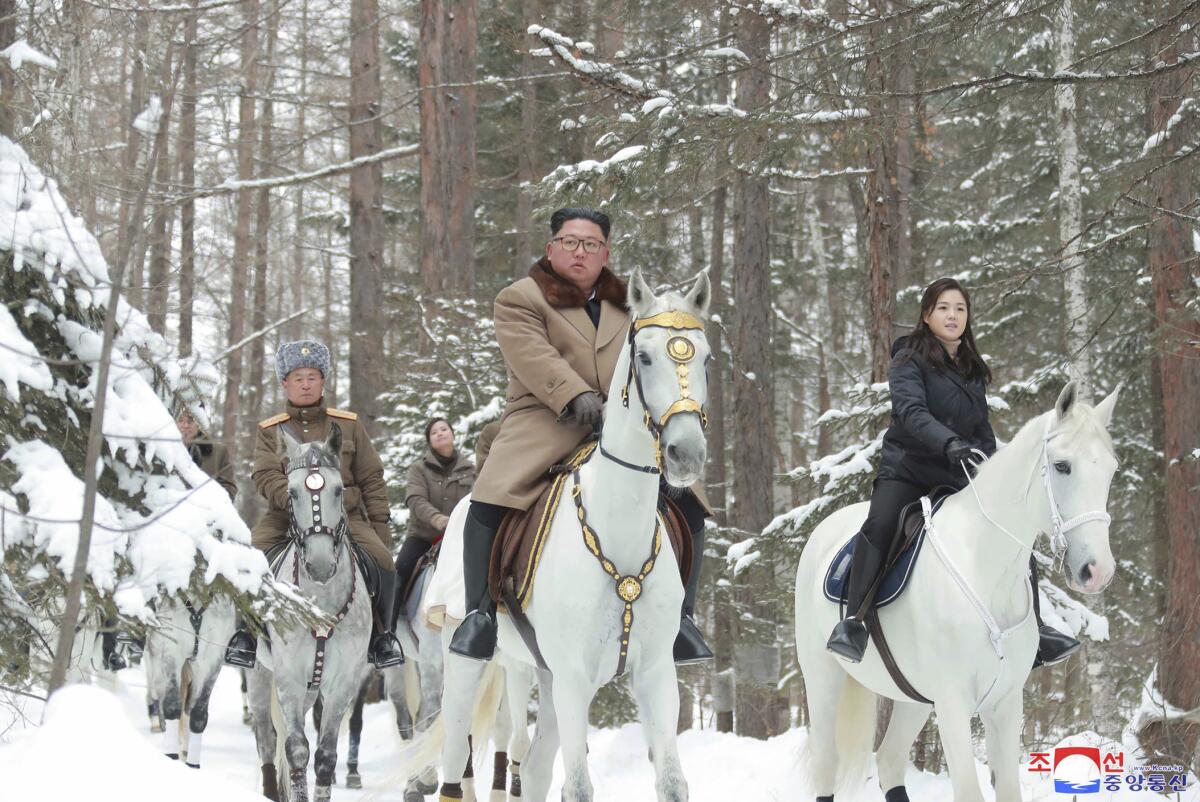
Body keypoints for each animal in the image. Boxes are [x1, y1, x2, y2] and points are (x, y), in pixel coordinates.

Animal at [792, 381, 1118, 802]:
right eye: (1063, 466)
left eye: (1110, 470)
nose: (1098, 570)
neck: (984, 569)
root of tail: (824, 530)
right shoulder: (952, 703)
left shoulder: (1005, 703)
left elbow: (1007, 789)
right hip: (822, 676)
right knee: (827, 762)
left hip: (914, 699)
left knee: (890, 760)